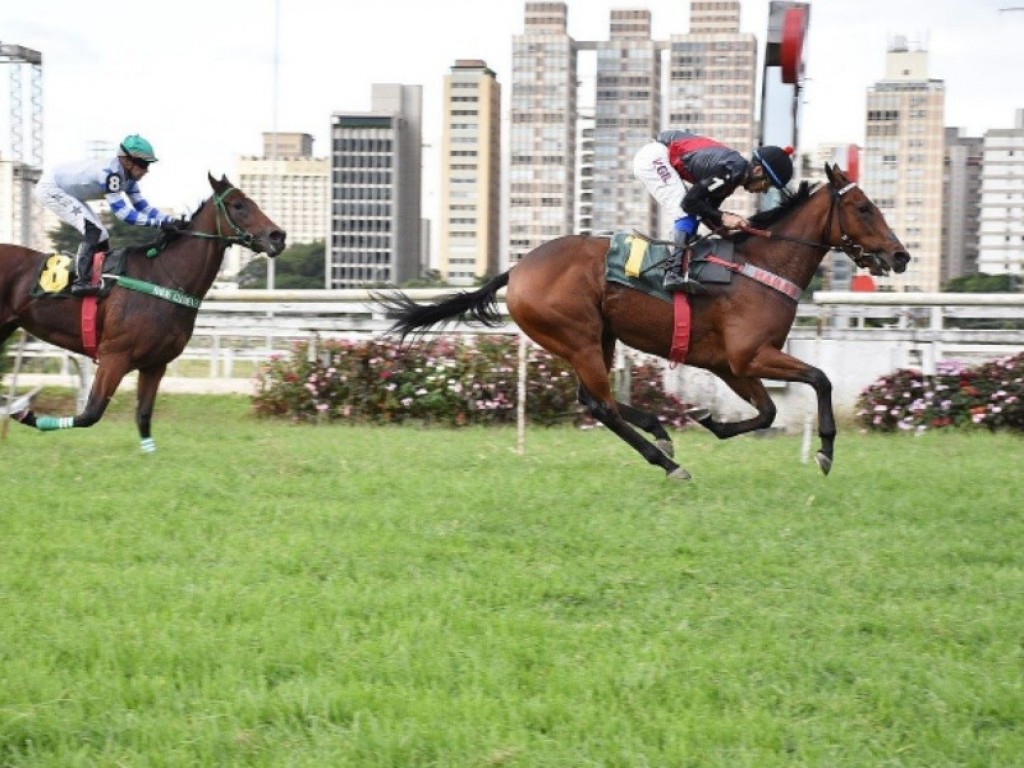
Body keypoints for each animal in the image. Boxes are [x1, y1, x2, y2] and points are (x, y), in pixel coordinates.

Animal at [1, 174, 284, 450]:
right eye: (238, 205)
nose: (278, 236)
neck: (163, 276)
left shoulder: (155, 364)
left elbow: (144, 416)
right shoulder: (114, 356)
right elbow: (90, 413)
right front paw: (24, 414)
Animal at [380, 165, 909, 481]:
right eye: (864, 208)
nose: (900, 255)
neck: (761, 266)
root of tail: (518, 269)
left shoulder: (732, 366)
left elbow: (768, 412)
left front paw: (710, 420)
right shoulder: (749, 355)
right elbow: (820, 378)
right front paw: (825, 451)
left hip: (598, 338)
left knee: (592, 399)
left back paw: (660, 430)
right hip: (578, 337)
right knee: (602, 406)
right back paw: (667, 462)